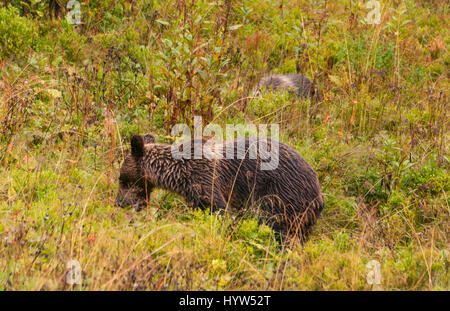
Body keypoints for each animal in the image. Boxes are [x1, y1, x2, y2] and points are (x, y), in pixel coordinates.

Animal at [115, 133, 324, 245]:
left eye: (121, 179)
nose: (119, 203)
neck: (177, 173)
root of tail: (319, 194)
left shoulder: (205, 181)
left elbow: (220, 211)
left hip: (282, 195)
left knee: (276, 225)